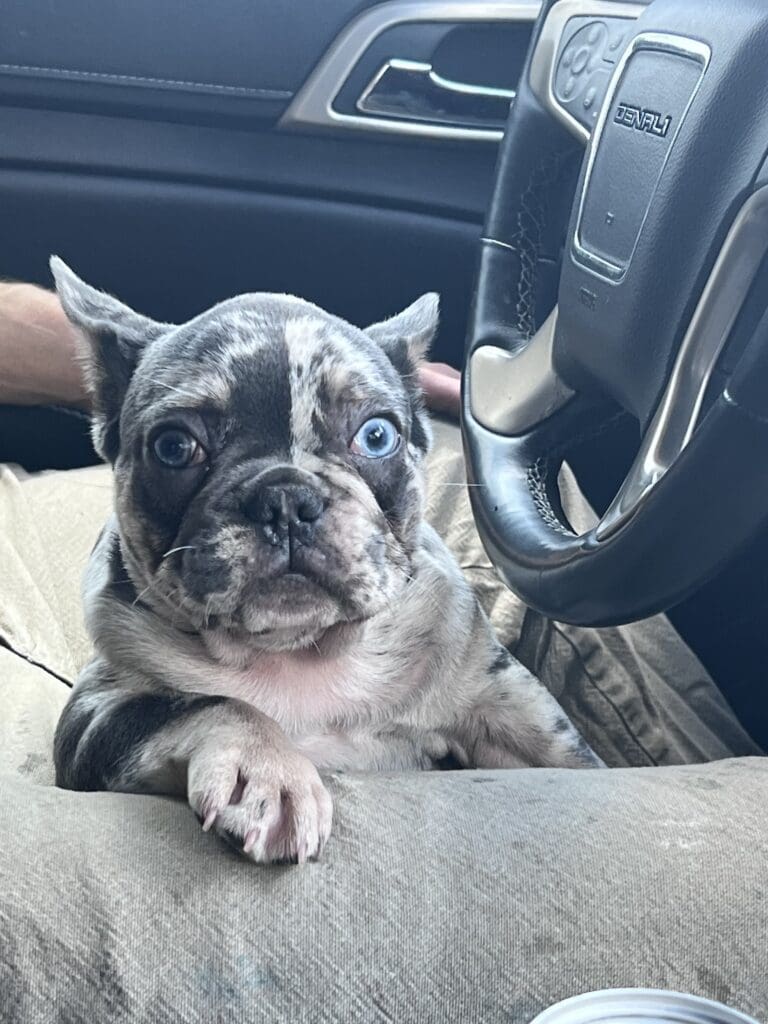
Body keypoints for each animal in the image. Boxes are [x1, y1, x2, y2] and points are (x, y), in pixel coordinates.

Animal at [52, 256, 602, 864]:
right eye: (174, 447)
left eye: (378, 435)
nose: (286, 497)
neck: (299, 653)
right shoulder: (95, 715)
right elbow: (207, 704)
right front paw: (268, 773)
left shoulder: (504, 707)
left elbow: (573, 762)